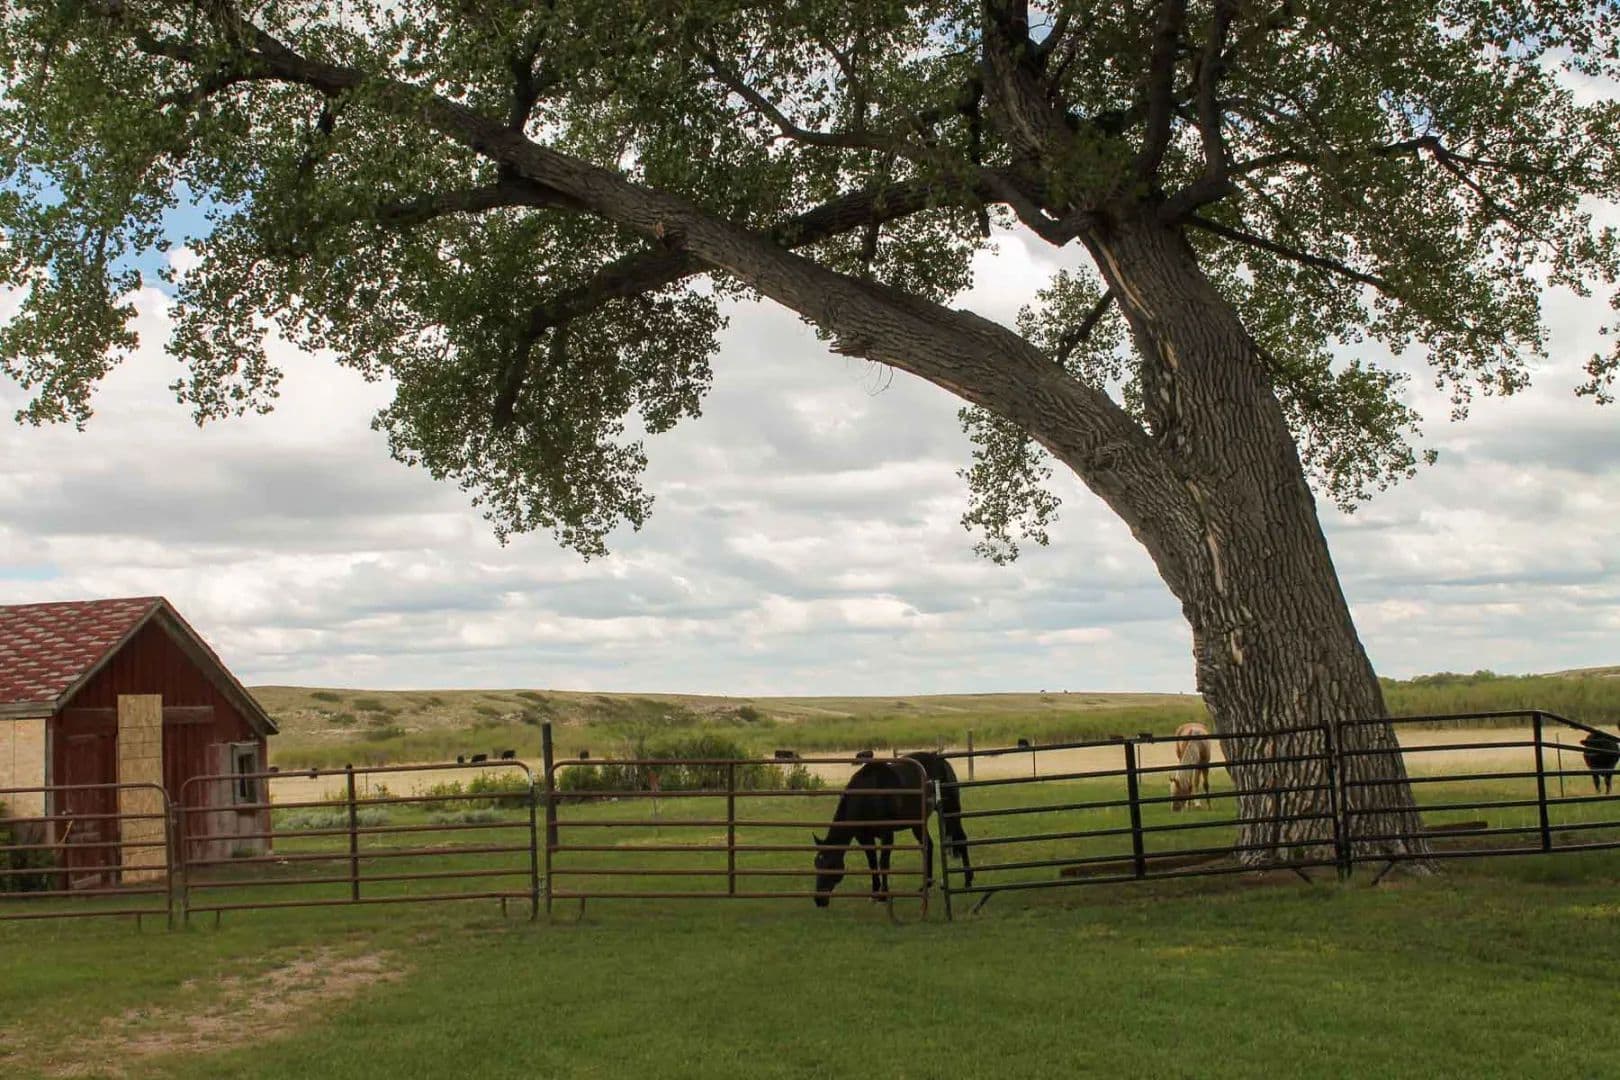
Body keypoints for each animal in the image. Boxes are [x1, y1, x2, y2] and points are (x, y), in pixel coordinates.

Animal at [811, 752, 973, 907]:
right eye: (817, 864)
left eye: (830, 865)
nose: (819, 900)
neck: (868, 795)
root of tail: (942, 760)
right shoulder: (864, 838)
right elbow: (872, 863)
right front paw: (874, 894)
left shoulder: (887, 834)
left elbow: (883, 863)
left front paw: (884, 895)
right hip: (917, 823)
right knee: (929, 846)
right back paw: (926, 885)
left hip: (951, 810)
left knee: (961, 838)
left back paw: (968, 882)